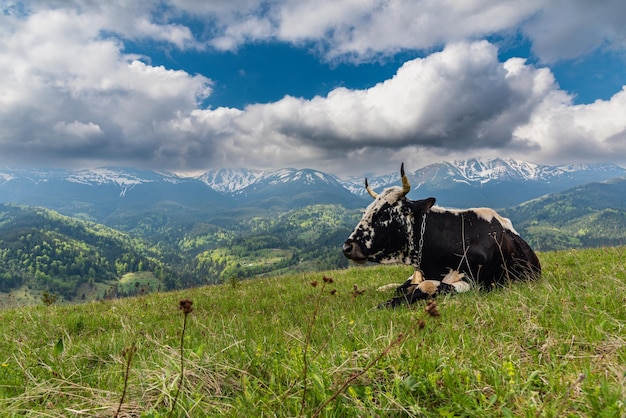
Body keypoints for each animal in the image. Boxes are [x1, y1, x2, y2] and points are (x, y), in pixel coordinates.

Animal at [338, 163, 540, 306]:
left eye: (383, 214)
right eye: (366, 212)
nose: (348, 247)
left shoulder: (475, 283)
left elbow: (425, 286)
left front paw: (385, 305)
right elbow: (405, 287)